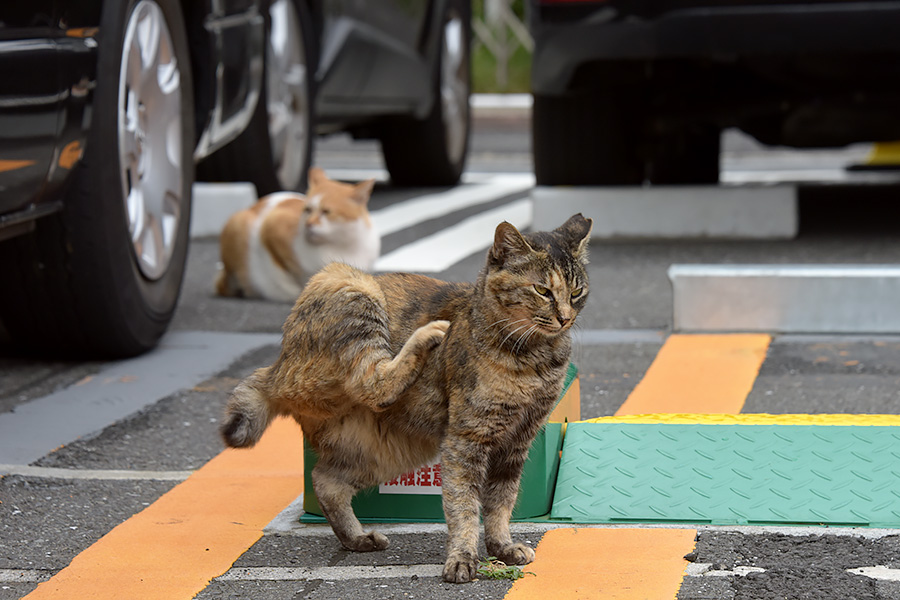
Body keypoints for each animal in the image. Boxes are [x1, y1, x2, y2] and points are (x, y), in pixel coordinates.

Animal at [217, 168, 380, 300]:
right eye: (307, 210)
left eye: (326, 211)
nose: (308, 223)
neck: (343, 245)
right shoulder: (272, 225)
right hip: (238, 223)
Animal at [222, 213, 596, 584]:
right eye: (542, 290)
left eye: (577, 291)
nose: (565, 317)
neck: (533, 359)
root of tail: (279, 367)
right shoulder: (467, 438)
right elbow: (464, 505)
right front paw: (462, 558)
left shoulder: (517, 441)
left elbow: (501, 501)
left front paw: (502, 547)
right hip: (352, 287)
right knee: (372, 383)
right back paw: (428, 334)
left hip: (384, 451)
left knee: (326, 481)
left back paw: (357, 538)